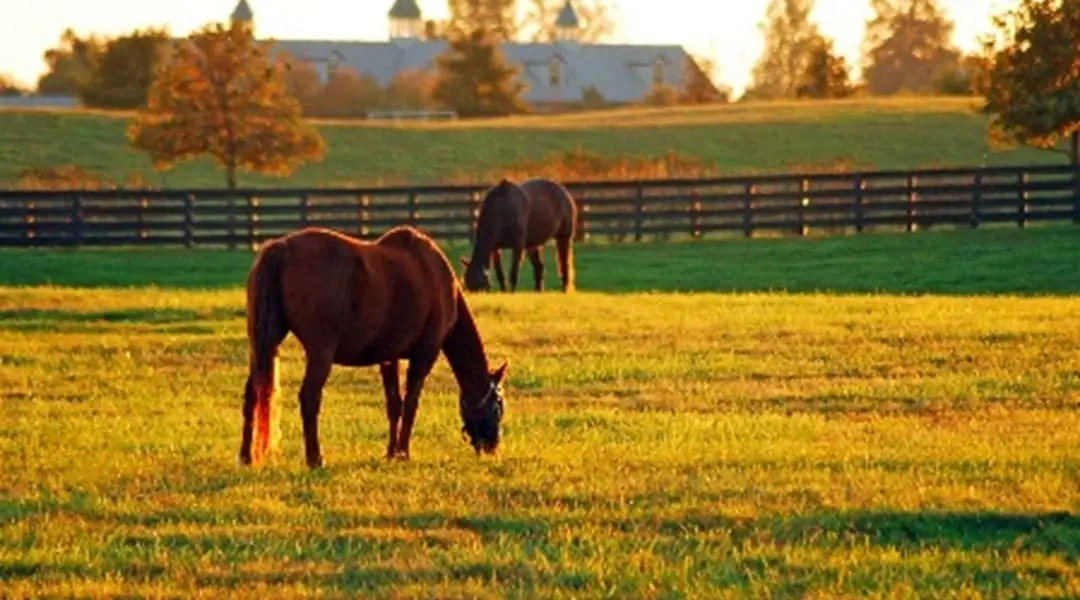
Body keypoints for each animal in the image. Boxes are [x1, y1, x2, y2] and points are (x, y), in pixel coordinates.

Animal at [238, 225, 509, 469]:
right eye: (498, 405)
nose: (492, 447)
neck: (438, 279)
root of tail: (281, 248)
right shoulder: (425, 354)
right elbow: (411, 403)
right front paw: (403, 452)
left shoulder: (389, 358)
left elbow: (394, 404)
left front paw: (391, 453)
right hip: (320, 352)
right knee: (309, 397)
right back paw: (315, 459)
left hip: (262, 345)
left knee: (253, 394)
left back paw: (245, 457)